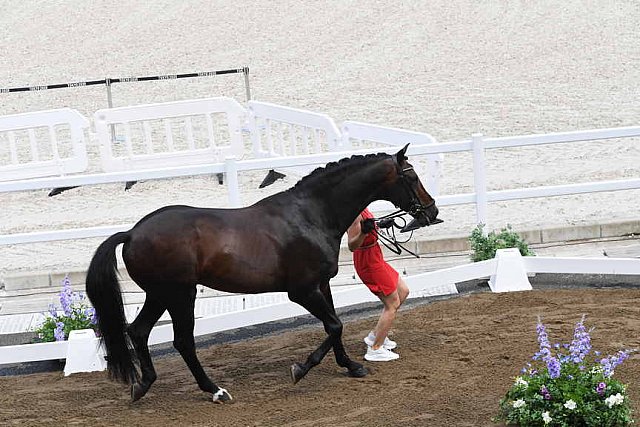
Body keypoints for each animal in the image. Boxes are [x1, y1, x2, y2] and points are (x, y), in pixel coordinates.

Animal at [86, 145, 440, 402]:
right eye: (411, 176)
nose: (432, 211)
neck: (310, 215)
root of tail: (133, 233)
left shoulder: (321, 285)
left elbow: (335, 326)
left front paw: (351, 367)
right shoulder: (302, 291)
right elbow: (334, 325)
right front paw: (301, 368)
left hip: (159, 295)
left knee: (139, 331)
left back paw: (143, 385)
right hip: (179, 295)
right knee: (182, 341)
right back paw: (215, 390)